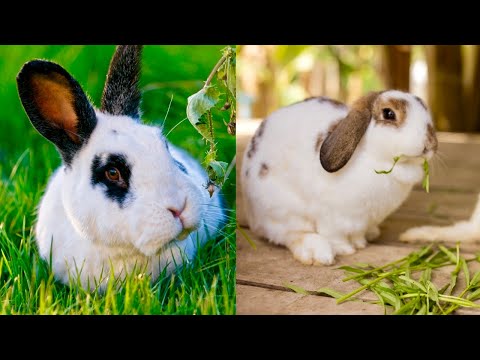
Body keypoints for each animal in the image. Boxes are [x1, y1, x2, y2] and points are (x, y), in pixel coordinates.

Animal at [242, 90, 436, 264]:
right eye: (389, 113)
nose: (430, 143)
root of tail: (252, 216)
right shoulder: (332, 217)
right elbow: (335, 236)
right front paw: (346, 250)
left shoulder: (361, 220)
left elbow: (358, 234)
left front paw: (360, 243)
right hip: (282, 210)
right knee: (289, 233)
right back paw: (317, 252)